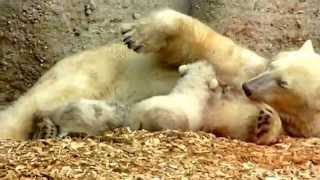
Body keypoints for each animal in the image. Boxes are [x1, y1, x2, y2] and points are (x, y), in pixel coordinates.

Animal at [0, 8, 268, 139]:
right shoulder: (240, 68)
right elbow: (197, 46)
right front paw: (137, 34)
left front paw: (263, 122)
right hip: (93, 70)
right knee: (33, 104)